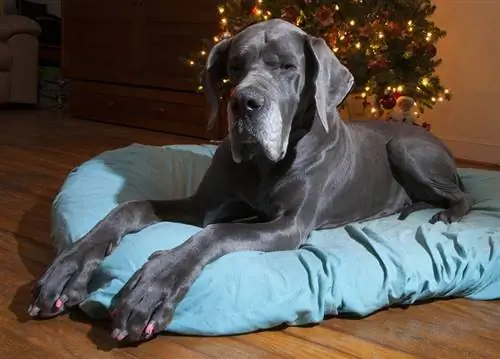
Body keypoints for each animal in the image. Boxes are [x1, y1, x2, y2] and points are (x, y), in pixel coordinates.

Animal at [28, 19, 472, 344]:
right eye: (235, 69)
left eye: (288, 67)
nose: (245, 103)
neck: (263, 164)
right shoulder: (202, 207)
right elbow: (131, 207)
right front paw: (68, 268)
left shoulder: (289, 226)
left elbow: (217, 233)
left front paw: (152, 285)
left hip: (404, 147)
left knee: (463, 194)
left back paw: (447, 215)